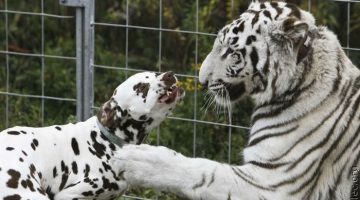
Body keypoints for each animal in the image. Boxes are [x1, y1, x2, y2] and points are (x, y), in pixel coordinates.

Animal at [114, 0, 360, 199]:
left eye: (232, 52)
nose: (202, 80)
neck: (299, 79)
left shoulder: (274, 183)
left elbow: (204, 171)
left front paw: (134, 159)